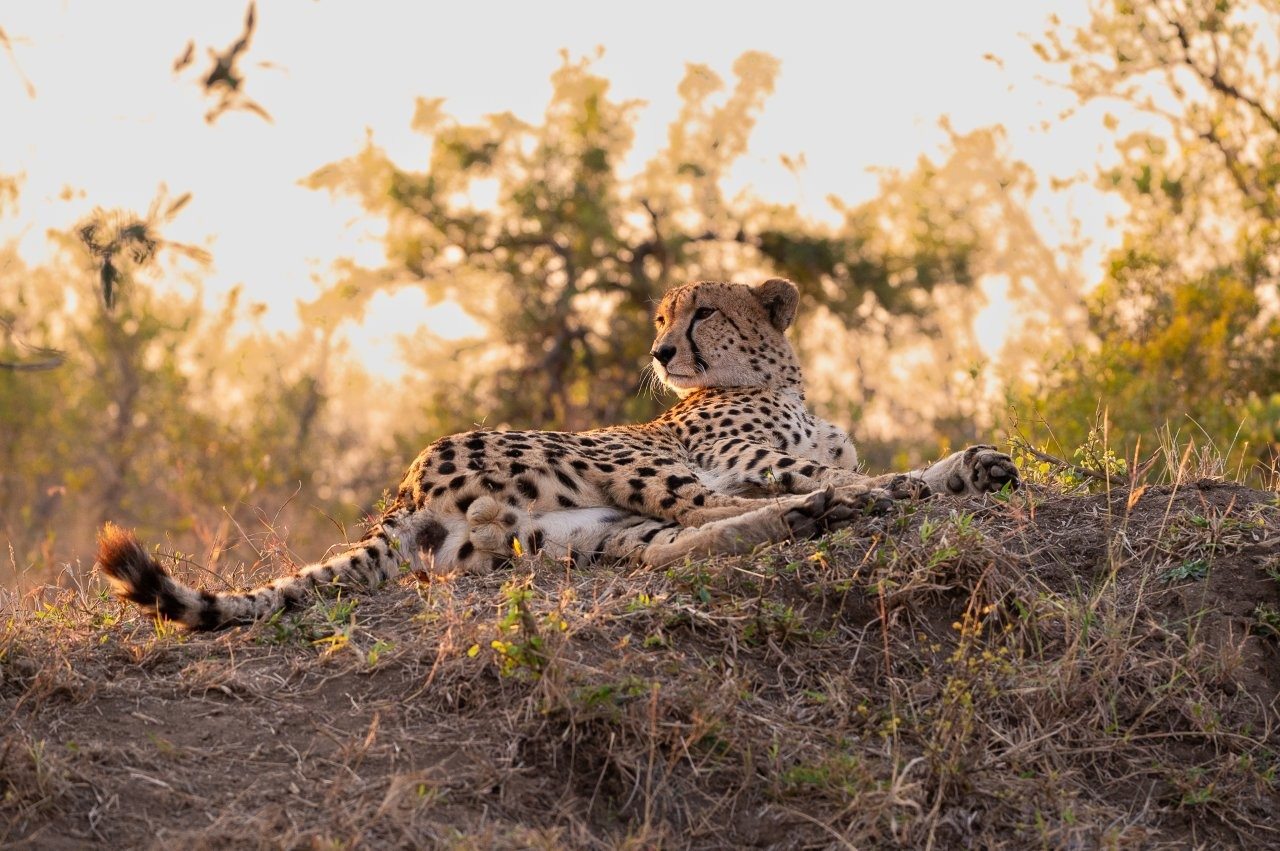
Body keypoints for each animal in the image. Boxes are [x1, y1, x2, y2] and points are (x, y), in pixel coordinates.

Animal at [97, 277, 1019, 630]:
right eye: (662, 317)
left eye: (703, 312)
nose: (660, 353)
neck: (779, 379)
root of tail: (402, 491)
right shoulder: (746, 458)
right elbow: (839, 468)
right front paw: (911, 479)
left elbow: (870, 463)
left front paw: (974, 464)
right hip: (601, 460)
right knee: (711, 507)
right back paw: (834, 507)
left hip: (579, 531)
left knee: (681, 543)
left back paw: (814, 516)